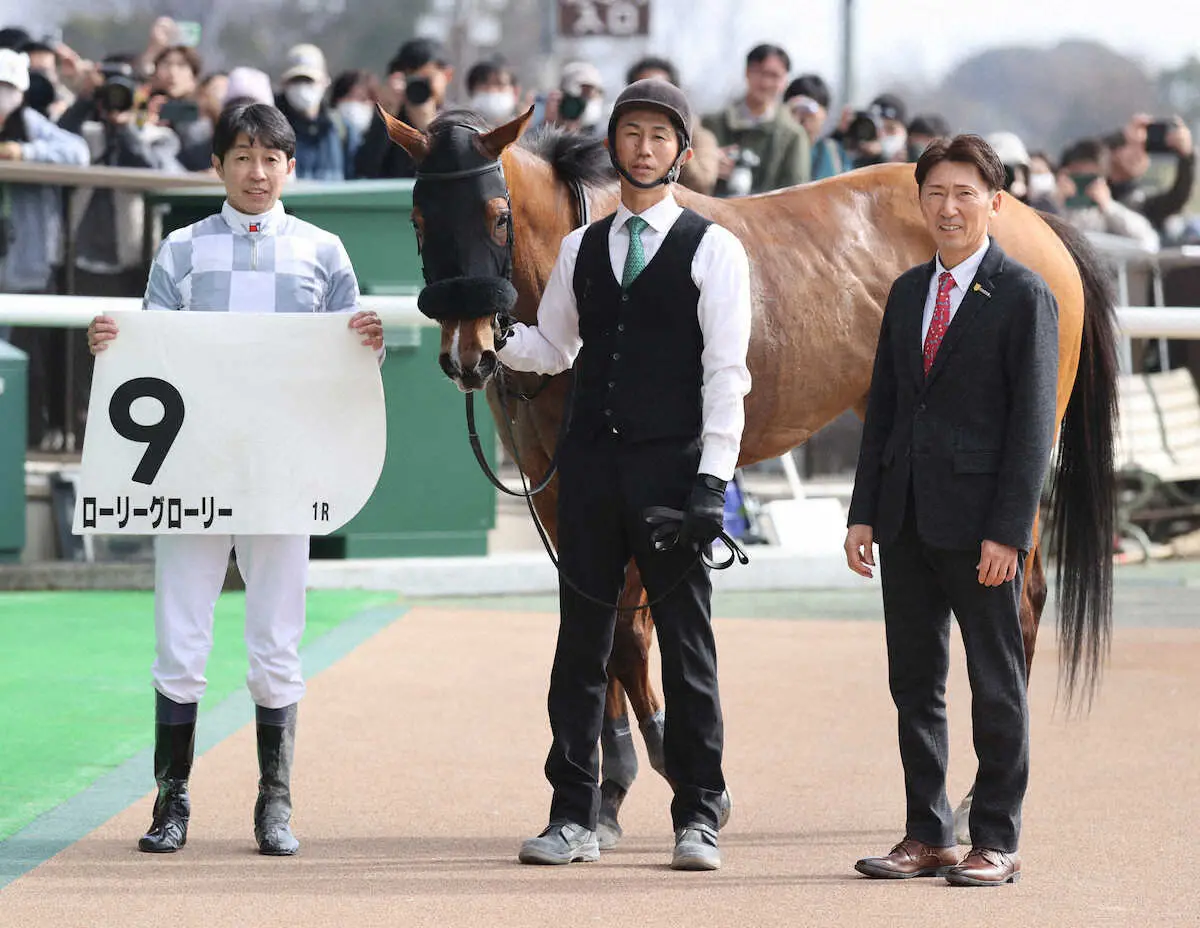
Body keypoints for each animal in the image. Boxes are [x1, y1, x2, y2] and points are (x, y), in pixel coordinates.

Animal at [381, 106, 1113, 845]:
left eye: (498, 215)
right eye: (416, 219)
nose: (468, 354)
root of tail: (1034, 222)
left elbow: (628, 630)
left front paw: (670, 770)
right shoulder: (563, 493)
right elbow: (602, 626)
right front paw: (606, 798)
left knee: (1017, 604)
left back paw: (970, 805)